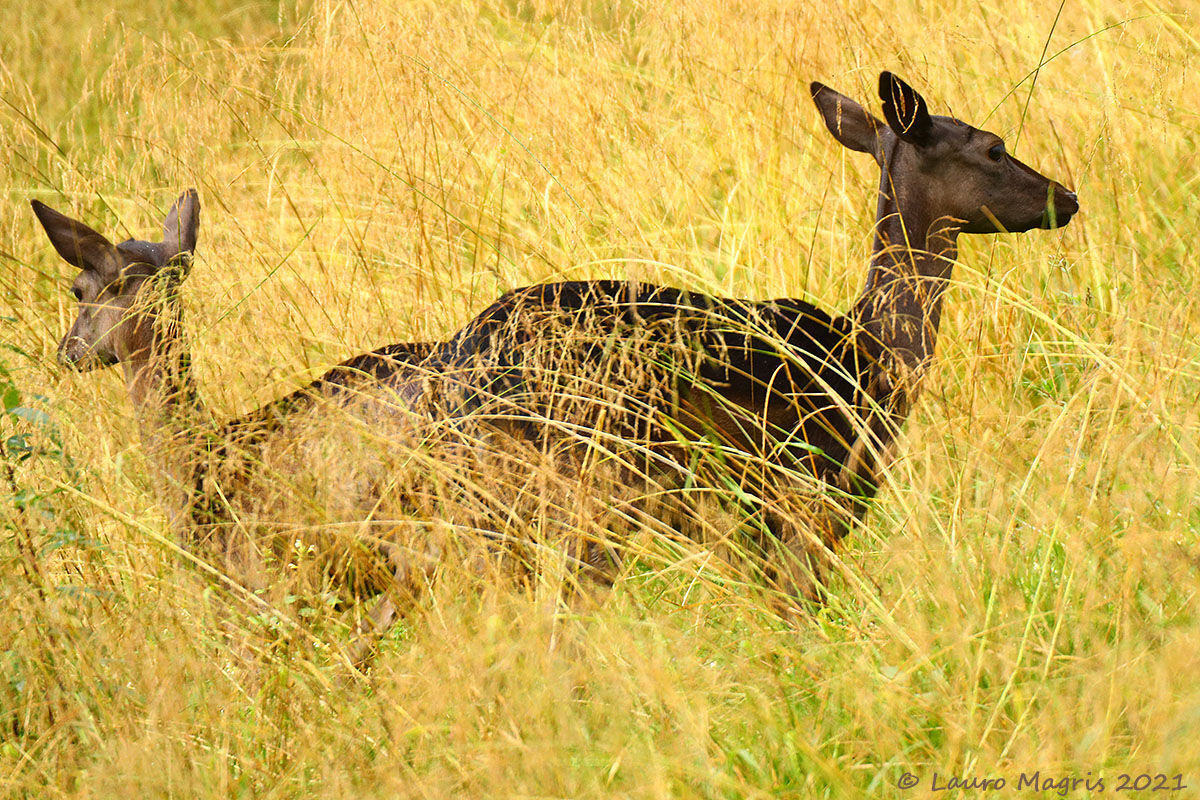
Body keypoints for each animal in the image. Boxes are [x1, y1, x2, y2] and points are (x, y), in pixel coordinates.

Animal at [395, 71, 1079, 609]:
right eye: (994, 148)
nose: (1068, 196)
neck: (871, 355)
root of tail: (457, 371)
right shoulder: (809, 499)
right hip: (584, 486)